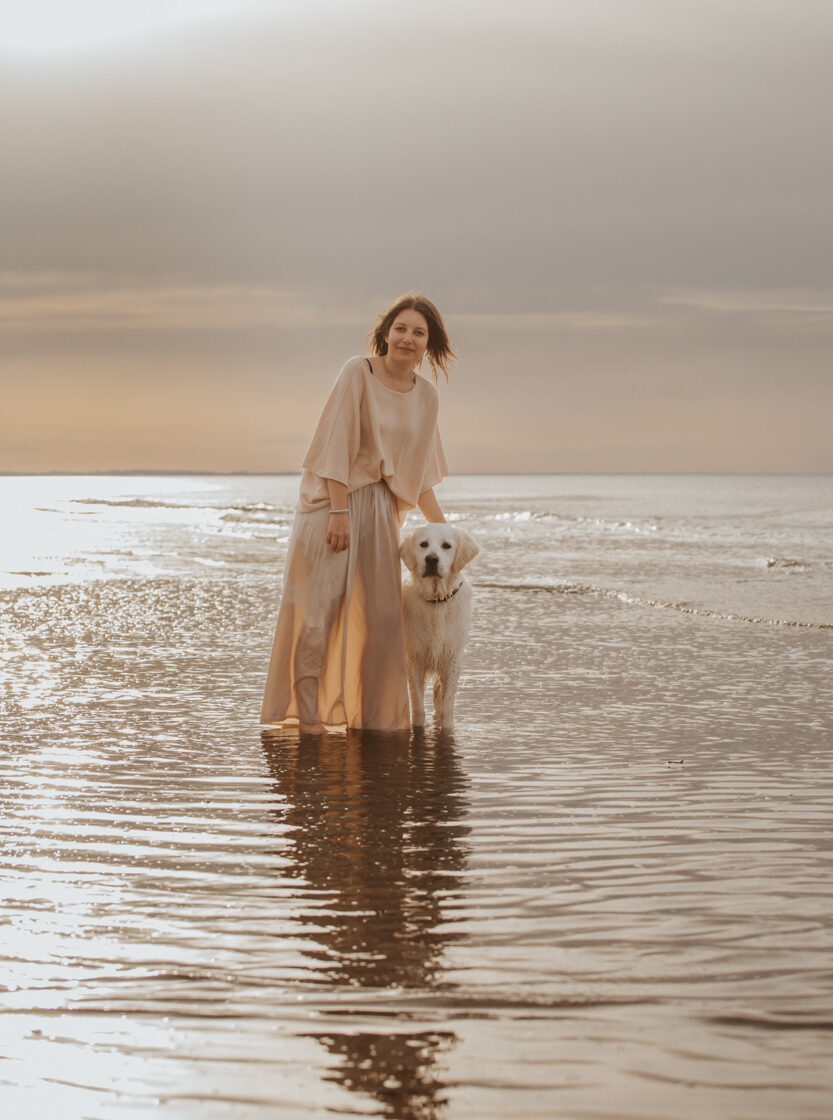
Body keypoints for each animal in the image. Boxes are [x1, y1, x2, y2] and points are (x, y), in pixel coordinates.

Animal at [398, 526, 479, 734]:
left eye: (446, 546)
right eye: (423, 544)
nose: (431, 559)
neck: (436, 602)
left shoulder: (451, 658)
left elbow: (447, 705)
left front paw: (448, 729)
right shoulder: (414, 659)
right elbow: (418, 705)